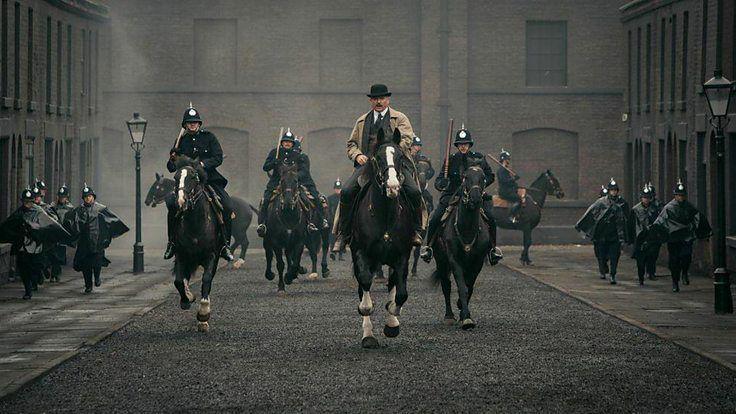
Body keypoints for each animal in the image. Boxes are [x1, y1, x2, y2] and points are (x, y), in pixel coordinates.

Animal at [171, 157, 220, 332]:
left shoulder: (211, 255)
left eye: (193, 177)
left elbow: (206, 279)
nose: (181, 201)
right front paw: (187, 298)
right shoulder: (181, 254)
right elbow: (179, 281)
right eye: (175, 177)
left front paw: (203, 315)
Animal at [264, 162, 308, 294]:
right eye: (282, 180)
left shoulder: (299, 241)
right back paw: (269, 274)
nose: (288, 202)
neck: (288, 215)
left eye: (296, 180)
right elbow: (280, 264)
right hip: (267, 239)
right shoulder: (276, 242)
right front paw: (281, 286)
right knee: (269, 255)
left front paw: (290, 276)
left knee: (289, 257)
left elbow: (295, 262)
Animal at [350, 128, 414, 348]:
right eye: (377, 158)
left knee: (394, 283)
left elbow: (401, 294)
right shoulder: (361, 253)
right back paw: (368, 335)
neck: (385, 215)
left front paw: (392, 322)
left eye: (400, 157)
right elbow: (365, 287)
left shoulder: (402, 255)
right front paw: (368, 328)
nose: (393, 186)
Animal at [428, 165, 492, 330]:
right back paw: (449, 316)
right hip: (441, 260)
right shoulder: (454, 260)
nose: (475, 198)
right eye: (465, 177)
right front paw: (466, 318)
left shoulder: (477, 262)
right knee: (446, 285)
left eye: (483, 177)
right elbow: (462, 287)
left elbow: (469, 287)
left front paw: (464, 312)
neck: (467, 229)